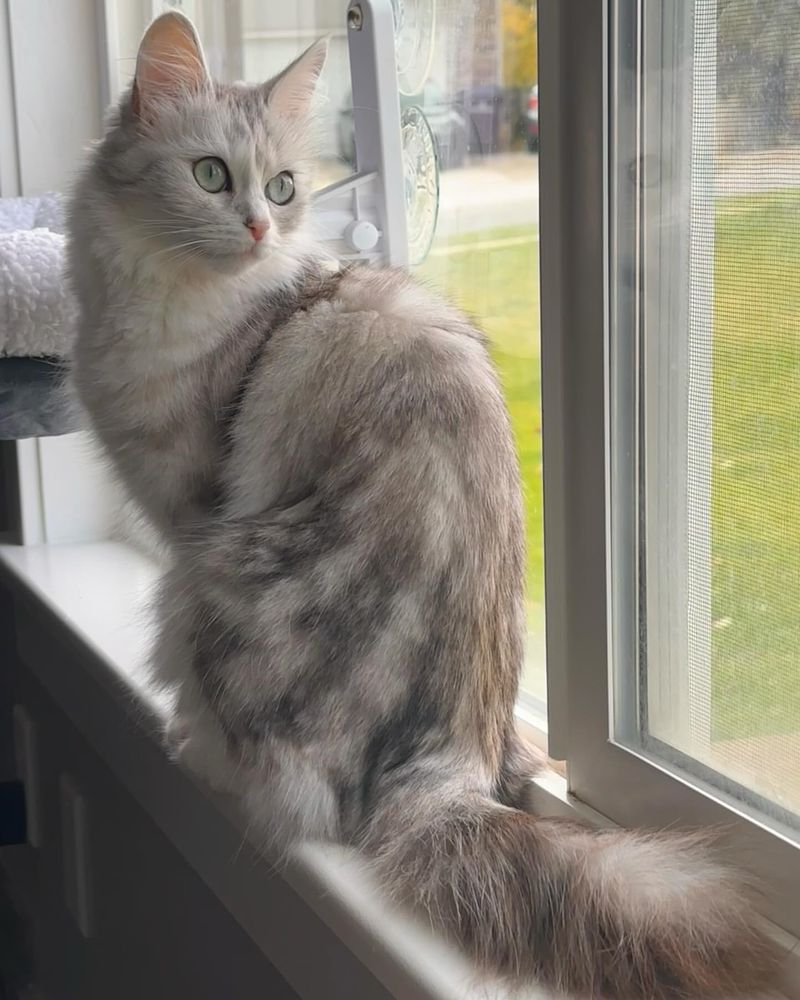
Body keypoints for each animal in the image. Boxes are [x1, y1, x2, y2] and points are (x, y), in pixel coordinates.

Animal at [65, 11, 780, 996]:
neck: (176, 297)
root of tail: (457, 758)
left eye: (282, 189)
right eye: (211, 175)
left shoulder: (190, 510)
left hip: (205, 581)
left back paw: (196, 750)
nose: (258, 229)